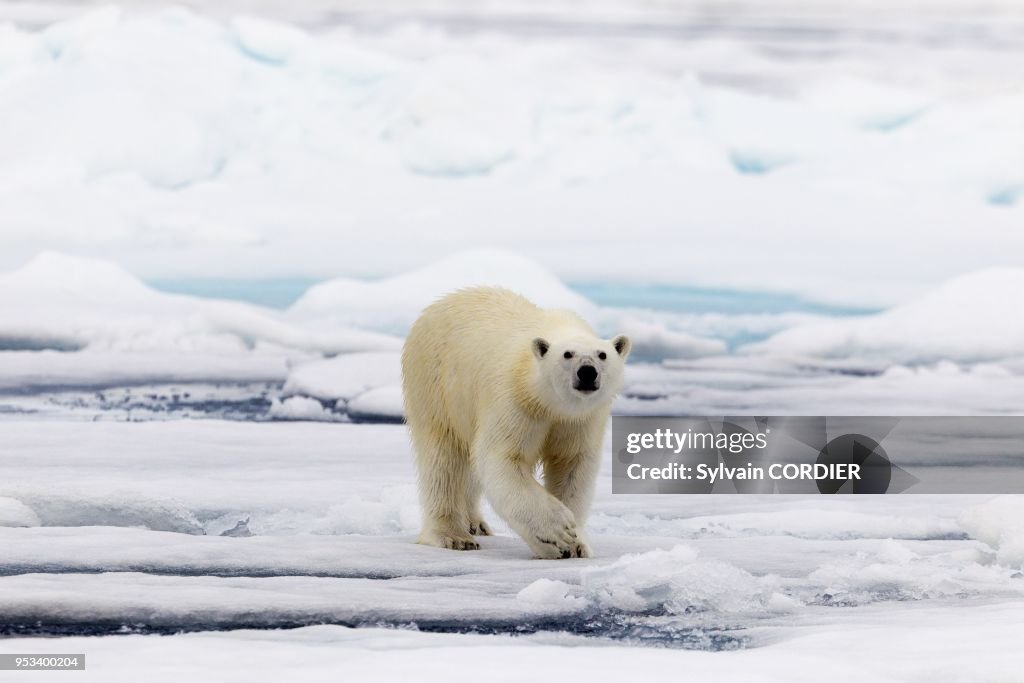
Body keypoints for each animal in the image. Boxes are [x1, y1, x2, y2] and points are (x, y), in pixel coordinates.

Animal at [401, 287, 630, 559]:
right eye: (567, 354)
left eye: (602, 354)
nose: (587, 372)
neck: (549, 402)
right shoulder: (515, 400)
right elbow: (502, 458)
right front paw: (557, 533)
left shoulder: (581, 420)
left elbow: (573, 465)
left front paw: (577, 544)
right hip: (436, 386)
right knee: (443, 461)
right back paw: (453, 536)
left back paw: (475, 524)